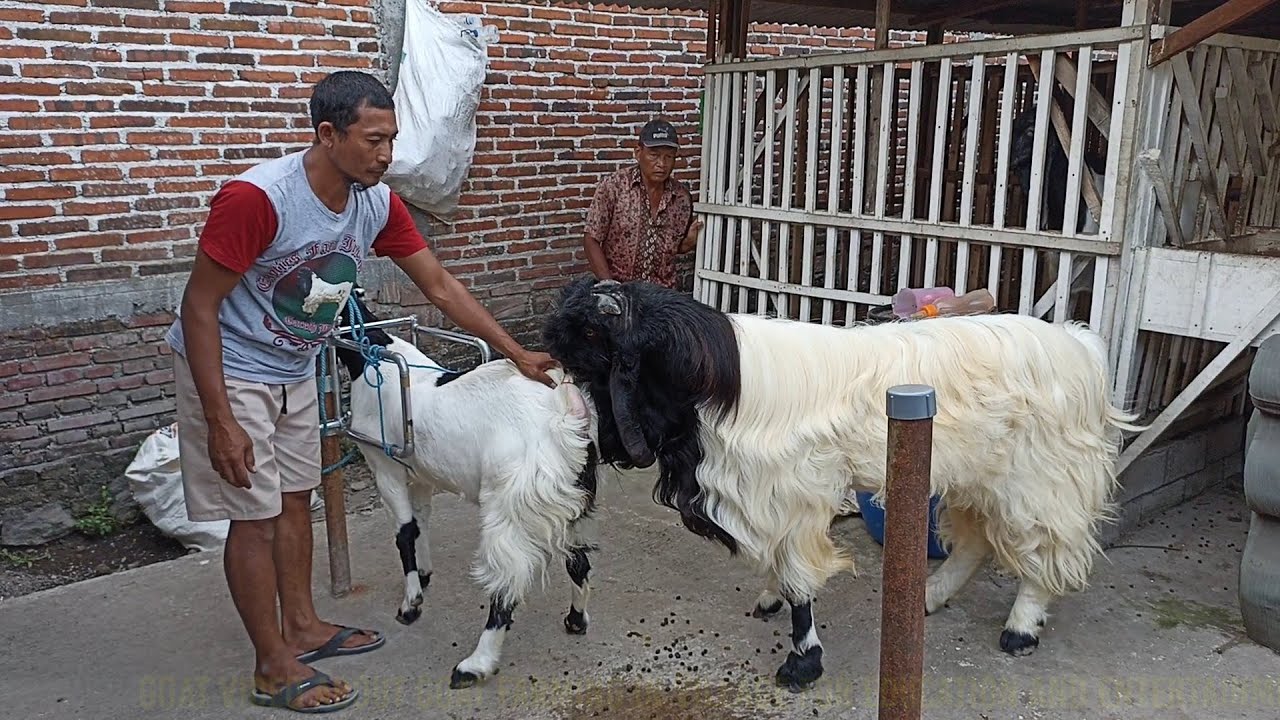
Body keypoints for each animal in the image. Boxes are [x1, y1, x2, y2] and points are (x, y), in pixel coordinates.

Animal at [333, 295, 601, 689]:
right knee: (578, 559)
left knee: (506, 582)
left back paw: (474, 665)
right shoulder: (421, 473)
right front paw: (424, 575)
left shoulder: (384, 466)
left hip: (511, 500)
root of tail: (565, 411)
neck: (372, 357)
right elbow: (421, 522)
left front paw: (410, 605)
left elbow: (404, 533)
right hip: (570, 498)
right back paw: (576, 620)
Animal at [542, 277, 1142, 692]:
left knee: (1044, 549)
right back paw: (931, 597)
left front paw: (802, 662)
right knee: (975, 541)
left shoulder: (792, 492)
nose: (602, 441)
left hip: (1039, 477)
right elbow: (778, 565)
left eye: (594, 342)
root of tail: (1082, 347)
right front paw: (769, 600)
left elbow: (800, 579)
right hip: (976, 472)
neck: (718, 383)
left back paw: (1020, 629)